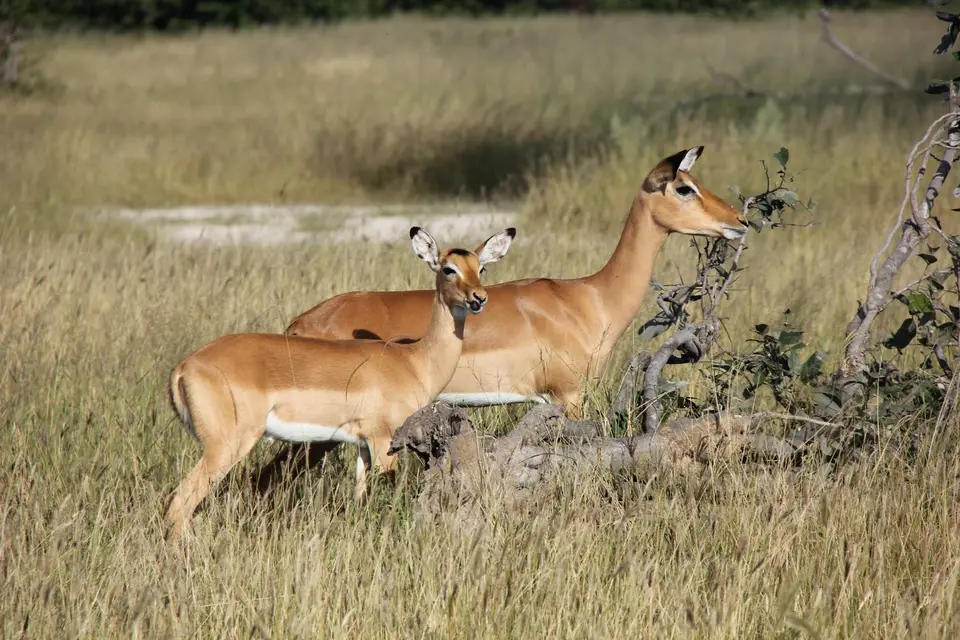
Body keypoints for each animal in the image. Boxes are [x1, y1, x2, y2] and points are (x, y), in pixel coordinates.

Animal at [164, 226, 515, 542]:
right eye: (448, 268)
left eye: (480, 268)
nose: (478, 298)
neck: (413, 360)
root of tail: (184, 366)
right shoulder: (383, 440)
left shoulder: (361, 445)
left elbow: (361, 499)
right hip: (226, 447)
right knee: (179, 504)